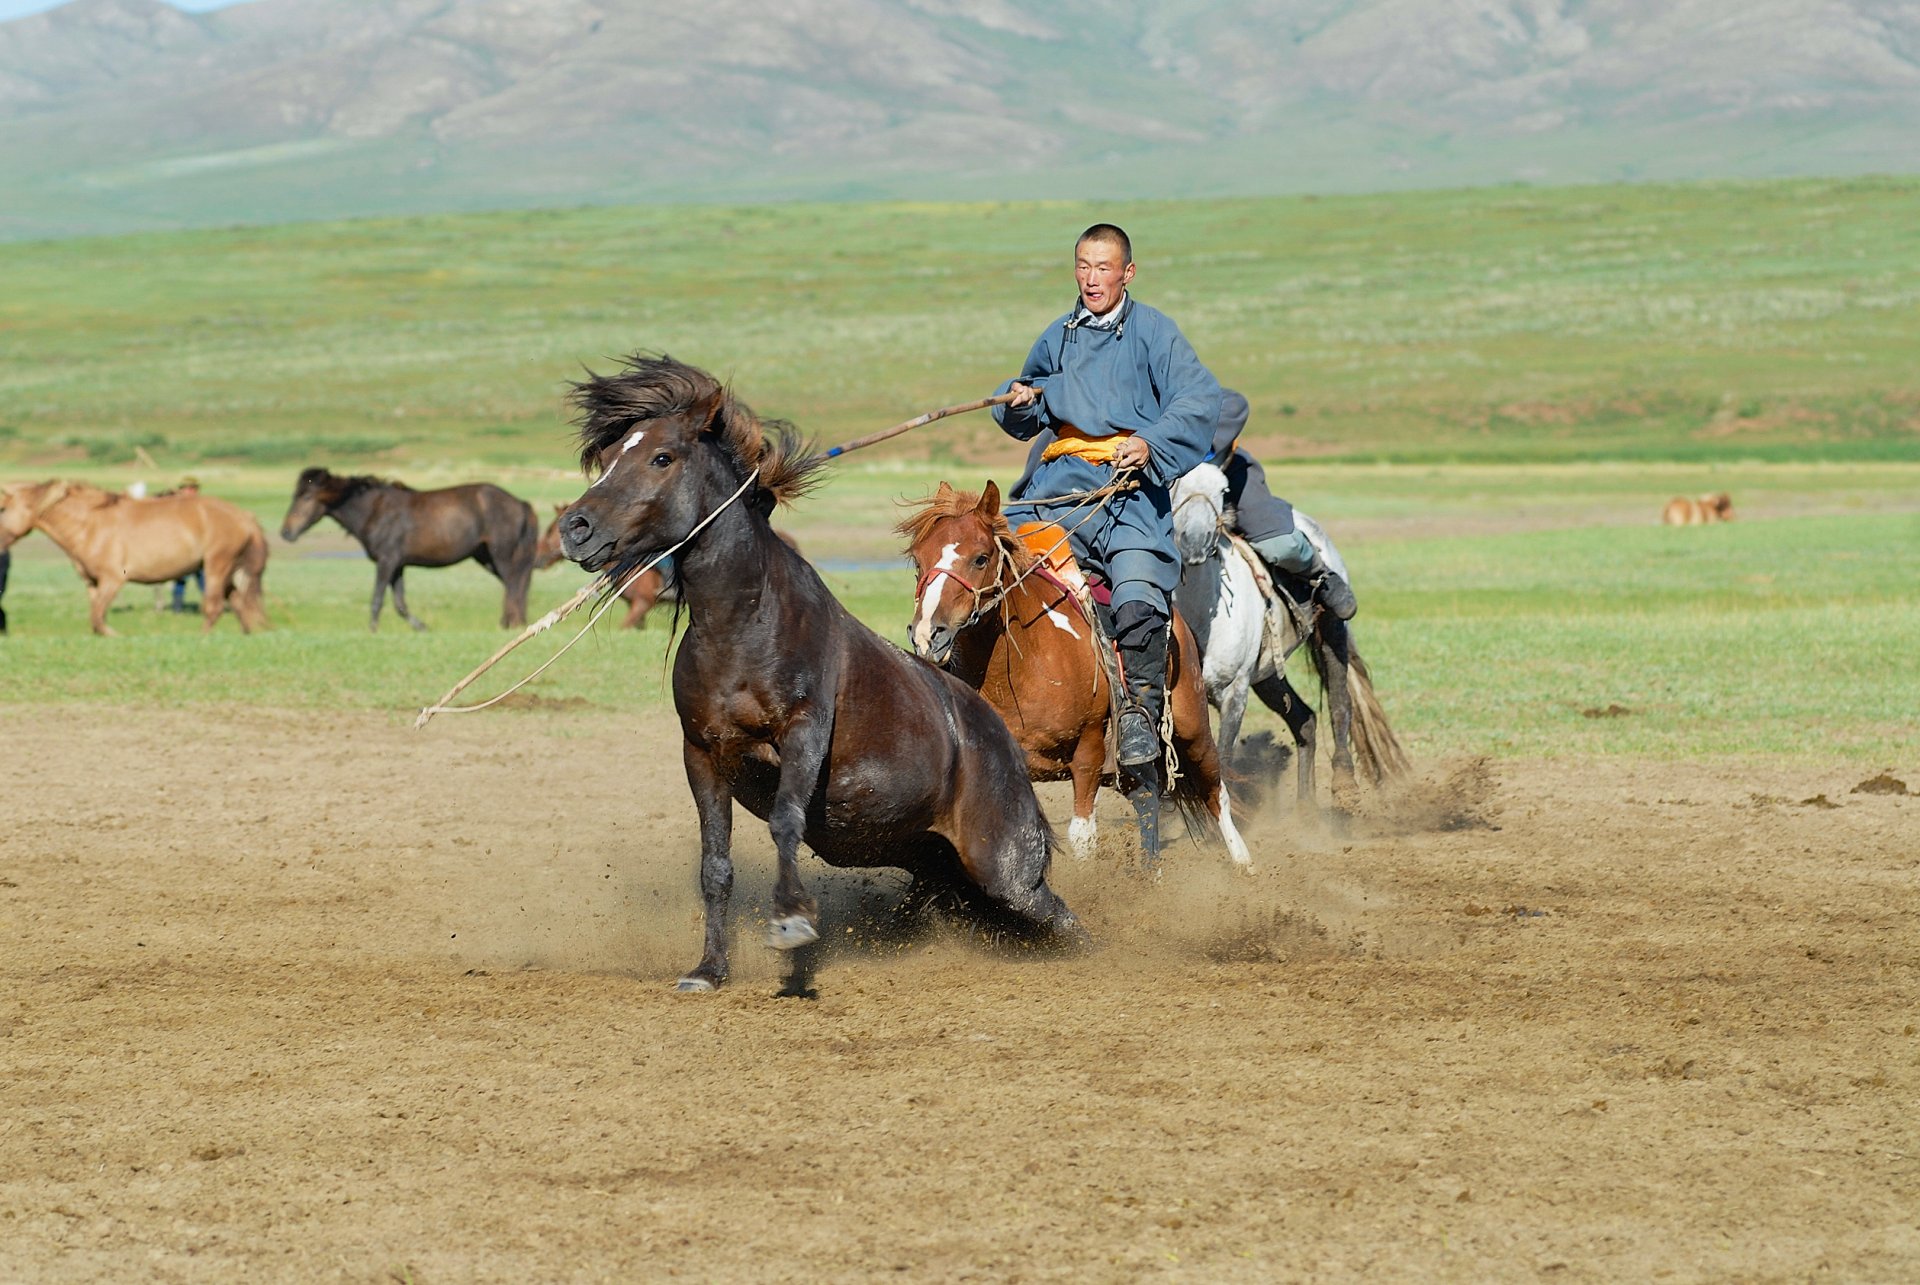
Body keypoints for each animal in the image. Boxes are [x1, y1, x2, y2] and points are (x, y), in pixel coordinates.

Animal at [0, 476, 270, 637]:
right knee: (239, 604)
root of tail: (245, 516)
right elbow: (96, 619)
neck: (91, 525)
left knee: (214, 607)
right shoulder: (93, 583)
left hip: (216, 566)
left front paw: (117, 637)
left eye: (2, 508)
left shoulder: (112, 580)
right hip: (228, 572)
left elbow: (98, 618)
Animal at [278, 468, 537, 633]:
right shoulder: (398, 565)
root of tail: (520, 503)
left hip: (501, 554)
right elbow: (400, 603)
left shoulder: (386, 562)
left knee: (513, 584)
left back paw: (510, 623)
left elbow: (377, 598)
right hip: (485, 556)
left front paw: (372, 630)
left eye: (306, 496)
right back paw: (512, 622)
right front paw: (421, 627)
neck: (374, 511)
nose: (286, 532)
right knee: (515, 585)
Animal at [556, 353, 1082, 991]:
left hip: (1005, 866)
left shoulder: (804, 732)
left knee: (1060, 918)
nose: (576, 527)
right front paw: (709, 968)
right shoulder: (702, 752)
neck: (744, 625)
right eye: (609, 454)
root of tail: (1001, 742)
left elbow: (786, 820)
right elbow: (715, 864)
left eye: (662, 457)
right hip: (934, 862)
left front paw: (791, 924)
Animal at [894, 484, 1251, 872]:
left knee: (1216, 790)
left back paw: (1244, 864)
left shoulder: (1089, 752)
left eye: (980, 558)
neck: (1021, 668)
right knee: (1147, 799)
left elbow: (1082, 837)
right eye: (919, 560)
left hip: (1192, 726)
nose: (928, 634)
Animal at [1159, 459, 1405, 802]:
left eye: (1223, 489)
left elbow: (1222, 758)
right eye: (1174, 484)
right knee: (1305, 720)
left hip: (1331, 633)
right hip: (1267, 677)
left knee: (1339, 701)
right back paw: (1305, 809)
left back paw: (1343, 781)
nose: (1195, 539)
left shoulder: (1234, 693)